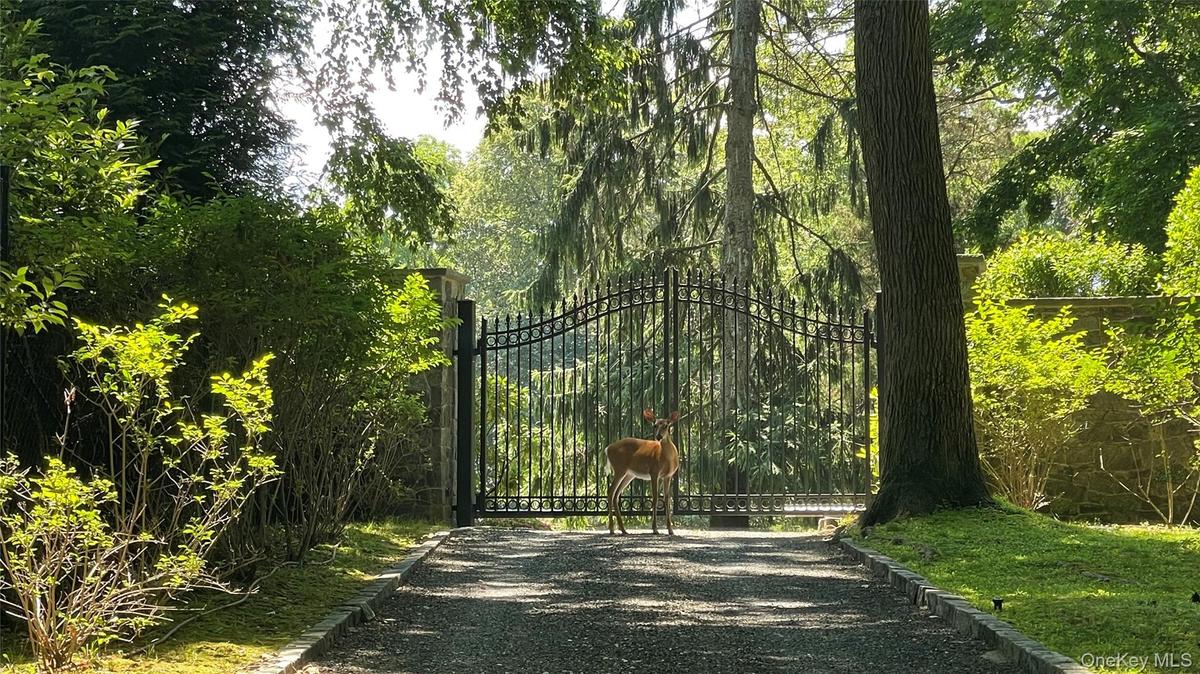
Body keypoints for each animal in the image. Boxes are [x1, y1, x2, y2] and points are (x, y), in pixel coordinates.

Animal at [606, 408, 681, 536]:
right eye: (655, 425)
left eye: (666, 425)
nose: (658, 436)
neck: (667, 458)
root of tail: (607, 448)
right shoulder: (654, 472)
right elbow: (655, 497)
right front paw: (655, 529)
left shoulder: (668, 476)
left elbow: (667, 499)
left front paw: (670, 530)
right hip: (619, 468)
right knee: (611, 491)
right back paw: (611, 529)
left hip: (629, 474)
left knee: (616, 494)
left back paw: (623, 529)